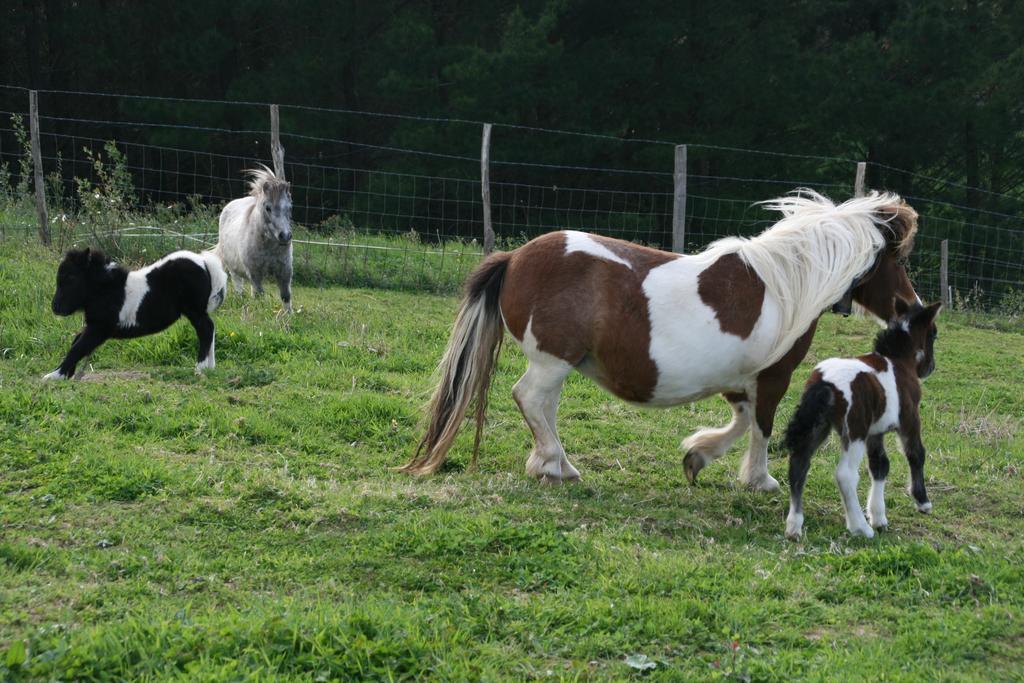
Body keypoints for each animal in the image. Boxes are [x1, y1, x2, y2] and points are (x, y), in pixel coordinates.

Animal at [44, 246, 228, 378]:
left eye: (71, 278)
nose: (56, 307)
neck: (107, 289)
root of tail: (204, 262)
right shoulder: (96, 326)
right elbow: (77, 342)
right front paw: (67, 374)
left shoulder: (100, 327)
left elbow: (78, 347)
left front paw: (54, 375)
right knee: (208, 329)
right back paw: (210, 367)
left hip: (194, 310)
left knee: (206, 329)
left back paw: (201, 368)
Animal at [214, 166, 294, 313]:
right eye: (268, 208)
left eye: (290, 207)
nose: (285, 236)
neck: (268, 246)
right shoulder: (255, 273)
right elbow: (260, 295)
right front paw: (261, 312)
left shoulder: (284, 271)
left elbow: (286, 295)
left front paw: (289, 315)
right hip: (233, 269)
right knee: (238, 285)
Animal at [399, 192, 921, 491]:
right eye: (895, 258)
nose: (911, 307)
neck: (784, 284)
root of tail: (514, 257)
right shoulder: (773, 377)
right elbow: (761, 428)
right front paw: (759, 480)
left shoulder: (738, 379)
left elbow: (741, 421)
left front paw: (697, 457)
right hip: (552, 360)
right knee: (528, 398)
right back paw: (555, 465)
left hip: (559, 365)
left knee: (542, 406)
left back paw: (552, 464)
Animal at [782, 299, 942, 540]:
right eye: (933, 334)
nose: (929, 368)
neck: (900, 361)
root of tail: (824, 383)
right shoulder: (910, 419)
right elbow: (916, 454)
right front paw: (922, 502)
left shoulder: (875, 431)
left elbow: (880, 465)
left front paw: (879, 517)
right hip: (854, 430)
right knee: (845, 474)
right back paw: (860, 527)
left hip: (819, 426)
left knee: (799, 464)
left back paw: (794, 526)